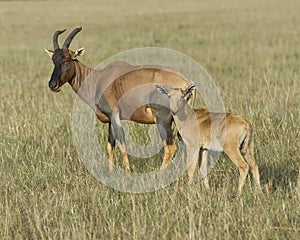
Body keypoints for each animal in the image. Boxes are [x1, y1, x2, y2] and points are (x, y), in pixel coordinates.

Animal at [44, 27, 195, 172]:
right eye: (53, 60)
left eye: (66, 59)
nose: (52, 85)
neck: (99, 79)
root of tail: (187, 83)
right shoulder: (110, 119)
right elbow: (110, 146)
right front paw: (111, 173)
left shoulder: (115, 115)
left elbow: (122, 145)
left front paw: (127, 172)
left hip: (163, 120)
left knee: (171, 146)